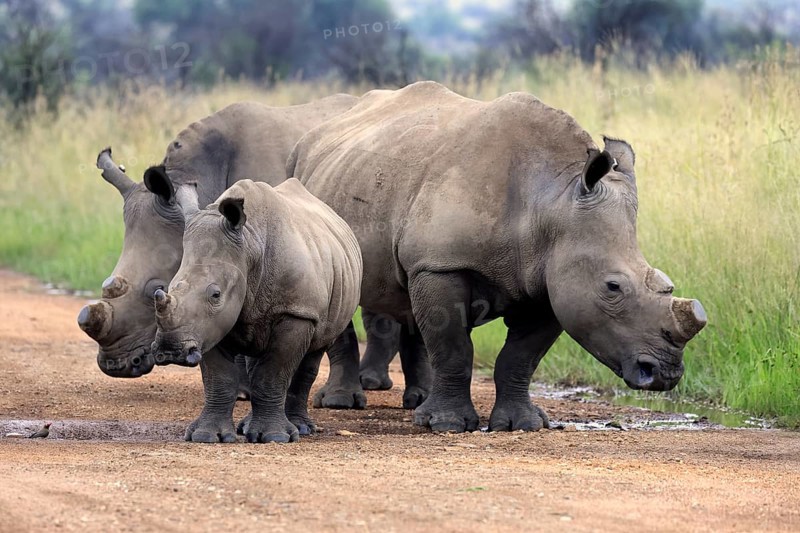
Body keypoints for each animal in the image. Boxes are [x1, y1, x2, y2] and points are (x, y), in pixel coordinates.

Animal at [151, 179, 363, 443]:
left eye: (215, 295)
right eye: (168, 288)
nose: (170, 351)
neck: (250, 246)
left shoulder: (296, 312)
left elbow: (272, 374)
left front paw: (275, 437)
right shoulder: (209, 325)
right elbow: (219, 378)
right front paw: (206, 436)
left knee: (314, 352)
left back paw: (301, 429)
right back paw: (248, 427)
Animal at [287, 81, 707, 433]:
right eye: (613, 287)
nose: (664, 373)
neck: (552, 202)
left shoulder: (550, 279)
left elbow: (520, 357)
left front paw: (523, 425)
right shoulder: (442, 264)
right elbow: (455, 347)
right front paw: (447, 426)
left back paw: (417, 403)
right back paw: (343, 404)